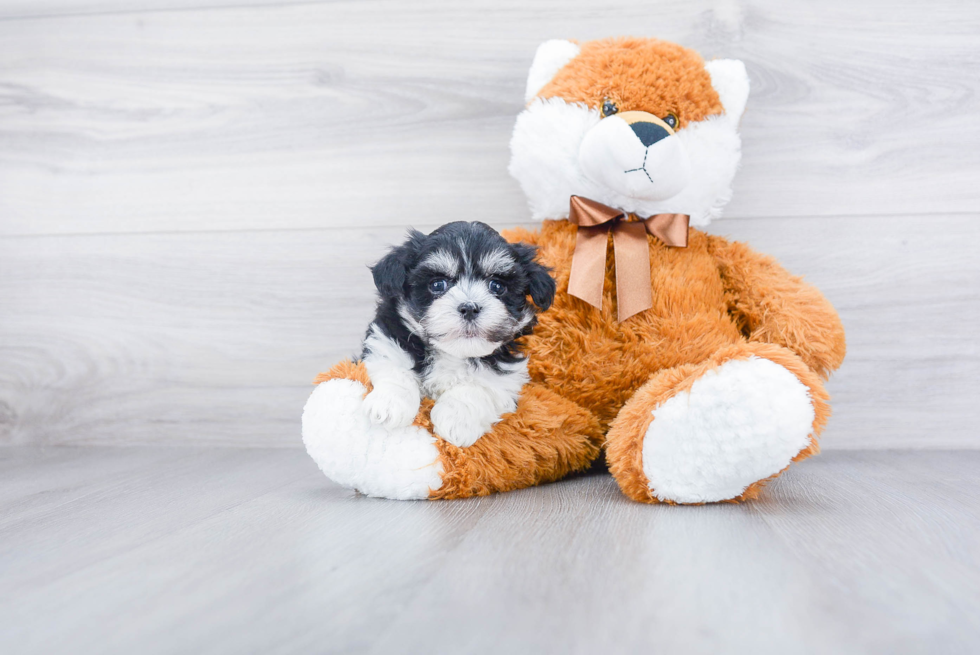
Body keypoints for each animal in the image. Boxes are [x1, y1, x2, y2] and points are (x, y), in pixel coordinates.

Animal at [362, 223, 560, 448]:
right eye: (437, 285)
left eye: (497, 286)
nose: (469, 308)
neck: (453, 354)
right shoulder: (387, 341)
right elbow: (396, 369)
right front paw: (388, 405)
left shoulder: (505, 376)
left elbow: (479, 387)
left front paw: (455, 421)